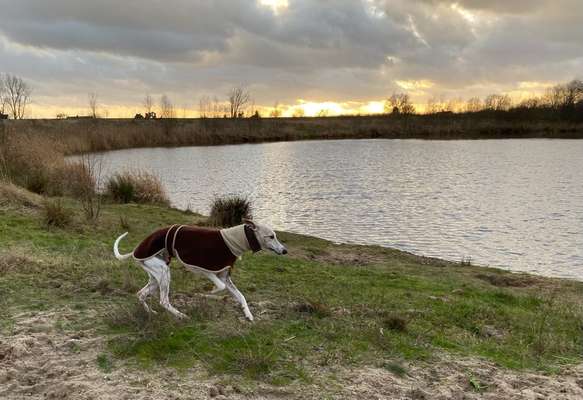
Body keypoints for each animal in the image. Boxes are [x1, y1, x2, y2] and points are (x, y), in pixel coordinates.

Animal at [113, 220, 286, 320]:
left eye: (275, 235)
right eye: (271, 236)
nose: (285, 251)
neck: (232, 241)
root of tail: (136, 250)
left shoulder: (225, 276)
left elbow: (241, 296)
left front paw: (248, 314)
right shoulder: (204, 270)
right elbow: (220, 287)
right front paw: (209, 293)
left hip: (156, 275)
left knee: (141, 294)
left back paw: (150, 313)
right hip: (163, 273)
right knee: (163, 300)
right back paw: (181, 315)